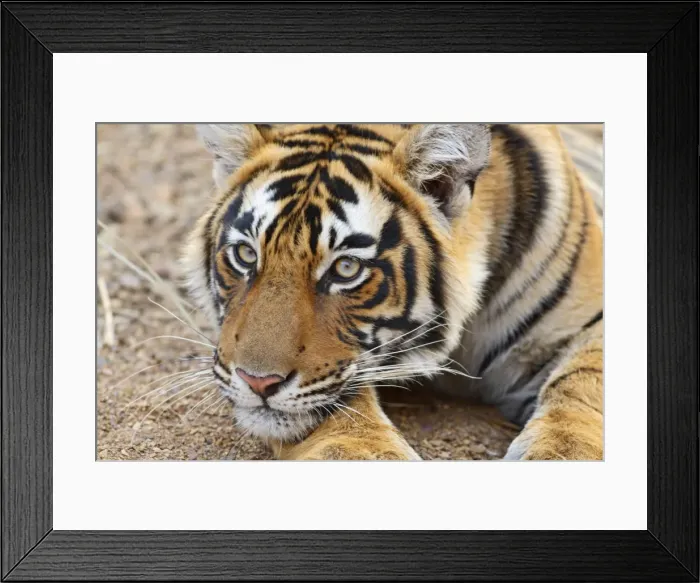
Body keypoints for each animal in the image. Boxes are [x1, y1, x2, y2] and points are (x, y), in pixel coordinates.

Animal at [183, 123, 603, 460]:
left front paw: (564, 453)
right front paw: (363, 452)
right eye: (246, 254)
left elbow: (583, 379)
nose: (258, 382)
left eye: (346, 268)